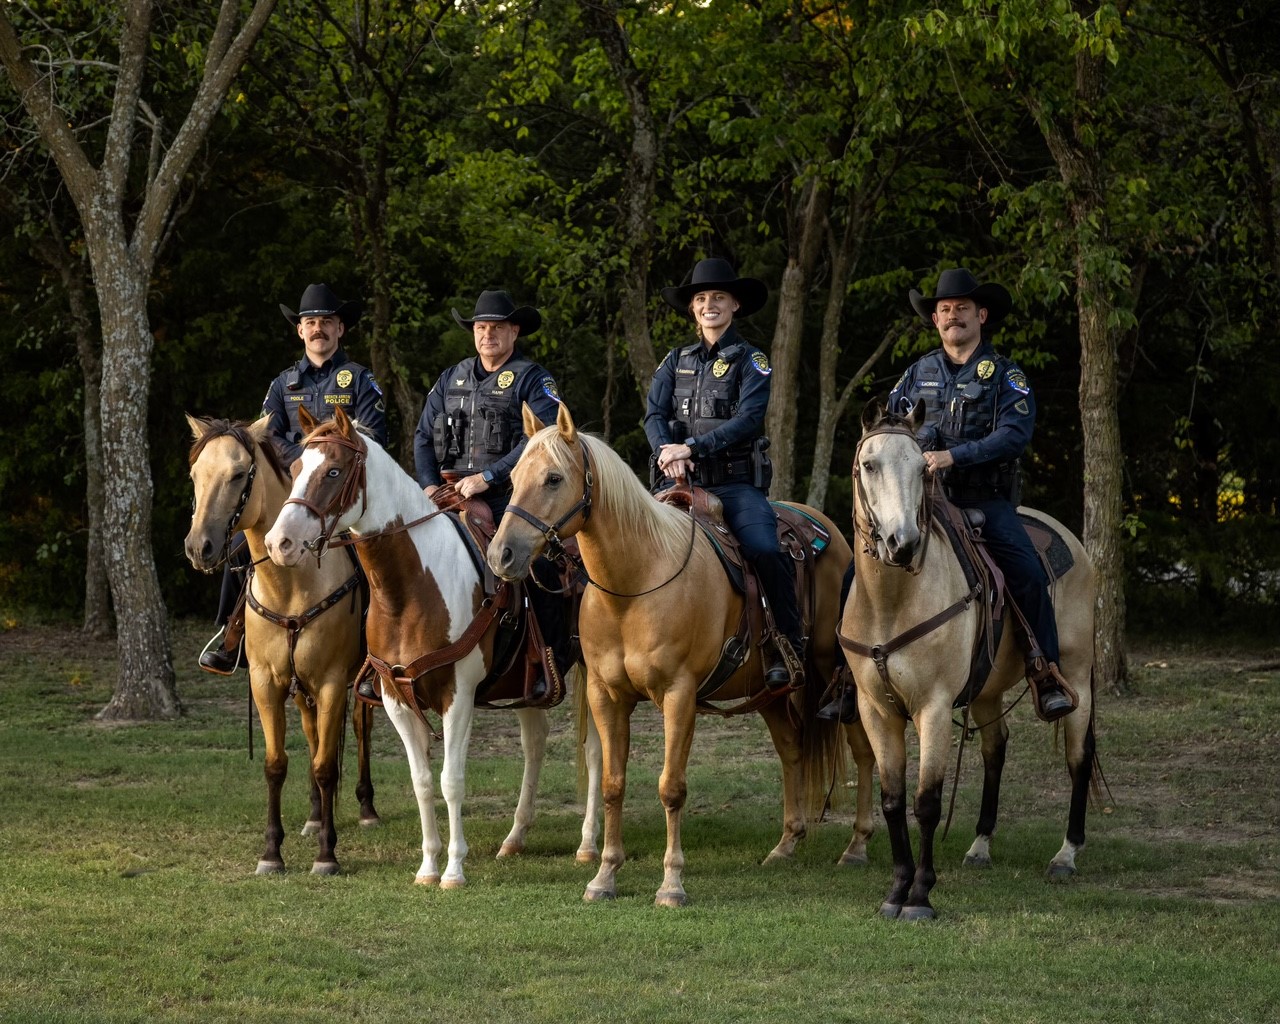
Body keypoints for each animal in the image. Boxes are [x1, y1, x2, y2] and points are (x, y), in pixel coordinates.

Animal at [184, 412, 378, 875]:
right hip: (300, 689)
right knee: (311, 734)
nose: (199, 547)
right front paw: (272, 851)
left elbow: (326, 766)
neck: (291, 584)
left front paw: (327, 855)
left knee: (359, 728)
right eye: (195, 475)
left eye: (239, 475)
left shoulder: (331, 683)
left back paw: (366, 808)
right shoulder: (266, 682)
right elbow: (277, 764)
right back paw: (314, 815)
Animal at [262, 404, 601, 885]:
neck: (410, 589)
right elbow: (422, 782)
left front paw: (454, 869)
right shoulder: (396, 698)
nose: (279, 543)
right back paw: (515, 837)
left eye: (333, 471)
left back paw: (588, 845)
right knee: (535, 743)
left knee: (594, 752)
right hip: (530, 683)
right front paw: (428, 866)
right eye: (293, 470)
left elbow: (451, 781)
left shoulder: (456, 697)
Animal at [483, 399, 875, 906]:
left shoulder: (678, 696)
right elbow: (612, 784)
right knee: (792, 748)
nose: (501, 555)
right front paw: (604, 875)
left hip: (835, 672)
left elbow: (671, 788)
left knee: (863, 749)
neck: (635, 585)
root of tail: (828, 529)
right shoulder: (606, 696)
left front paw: (671, 883)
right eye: (514, 478)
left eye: (553, 478)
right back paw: (786, 844)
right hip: (768, 689)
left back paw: (858, 845)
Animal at [839, 399, 1100, 921]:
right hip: (987, 691)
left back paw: (1066, 855)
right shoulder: (876, 711)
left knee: (1078, 758)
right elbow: (893, 800)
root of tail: (1071, 540)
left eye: (922, 468)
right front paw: (896, 891)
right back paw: (980, 845)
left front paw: (920, 896)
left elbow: (926, 803)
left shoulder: (934, 709)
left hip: (1077, 677)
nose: (902, 542)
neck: (890, 603)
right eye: (869, 465)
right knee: (995, 749)